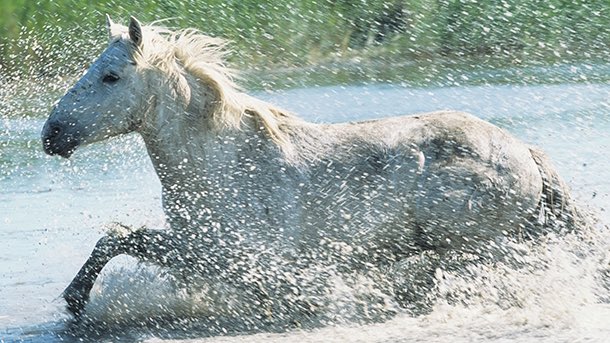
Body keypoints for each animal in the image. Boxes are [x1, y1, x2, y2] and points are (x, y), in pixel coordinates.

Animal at [41, 15, 580, 318]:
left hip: (477, 243)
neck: (222, 164)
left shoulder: (238, 259)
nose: (51, 134)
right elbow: (120, 236)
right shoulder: (202, 248)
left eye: (111, 77)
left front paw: (75, 298)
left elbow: (121, 236)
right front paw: (75, 297)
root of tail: (524, 151)